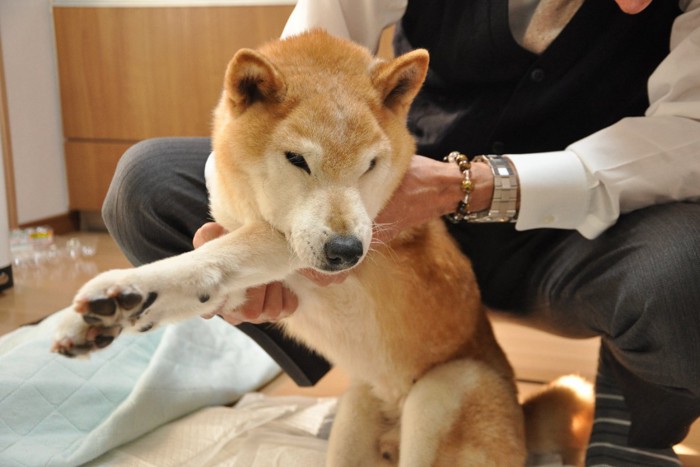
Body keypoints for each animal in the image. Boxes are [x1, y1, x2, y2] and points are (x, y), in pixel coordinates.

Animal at [52, 31, 592, 466]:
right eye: (297, 159)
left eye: (371, 164)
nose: (346, 250)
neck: (251, 204)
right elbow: (211, 280)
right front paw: (114, 314)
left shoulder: (323, 247)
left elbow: (217, 256)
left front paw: (130, 286)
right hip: (357, 420)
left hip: (445, 391)